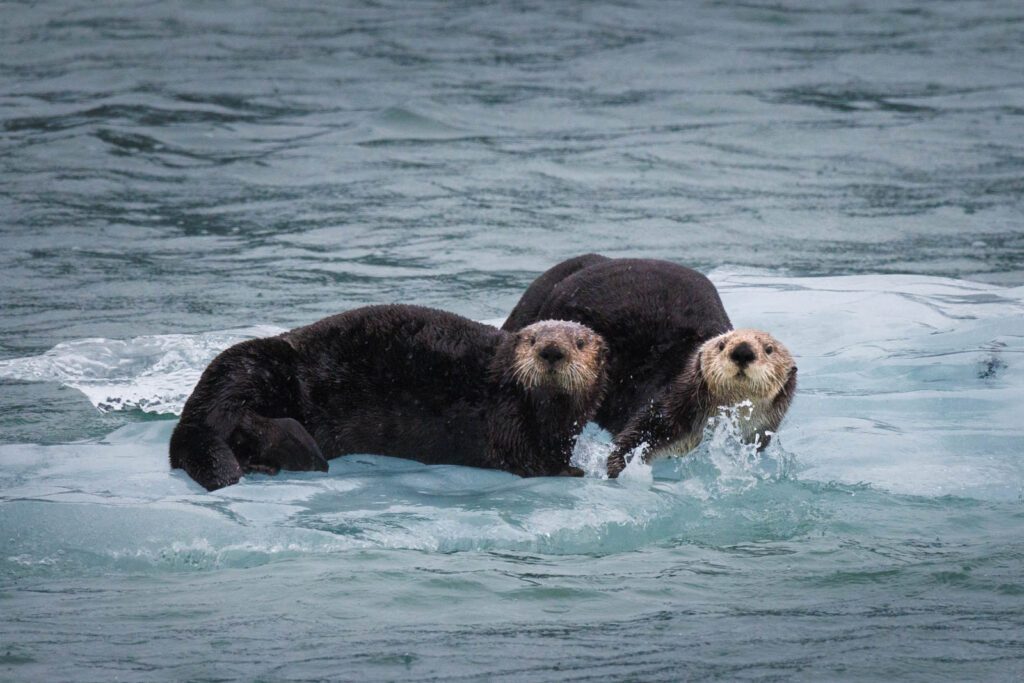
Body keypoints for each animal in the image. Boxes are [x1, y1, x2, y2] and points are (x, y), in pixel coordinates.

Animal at [167, 305, 606, 491]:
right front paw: (571, 472)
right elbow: (524, 458)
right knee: (234, 419)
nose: (551, 350)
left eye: (580, 342)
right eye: (532, 339)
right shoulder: (504, 416)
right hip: (256, 369)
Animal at [503, 253, 798, 479]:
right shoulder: (670, 407)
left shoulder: (756, 433)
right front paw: (617, 471)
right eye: (722, 345)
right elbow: (634, 437)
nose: (743, 351)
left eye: (769, 349)